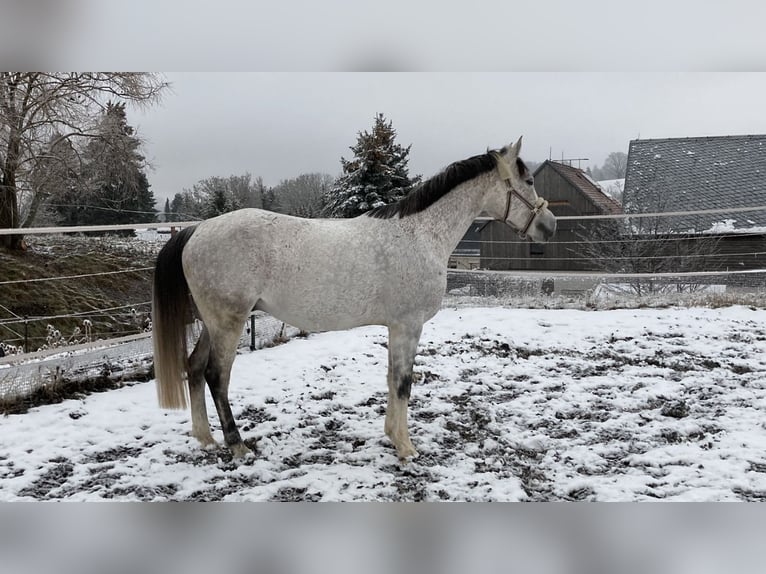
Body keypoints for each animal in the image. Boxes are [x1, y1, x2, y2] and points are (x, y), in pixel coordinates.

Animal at [153, 140, 560, 464]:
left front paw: (391, 436)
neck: (421, 234)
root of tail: (197, 230)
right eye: (528, 181)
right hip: (229, 322)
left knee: (194, 367)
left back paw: (206, 439)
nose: (550, 226)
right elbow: (403, 382)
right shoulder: (408, 325)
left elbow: (392, 379)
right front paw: (406, 447)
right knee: (216, 376)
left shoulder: (397, 327)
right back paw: (237, 446)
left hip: (212, 323)